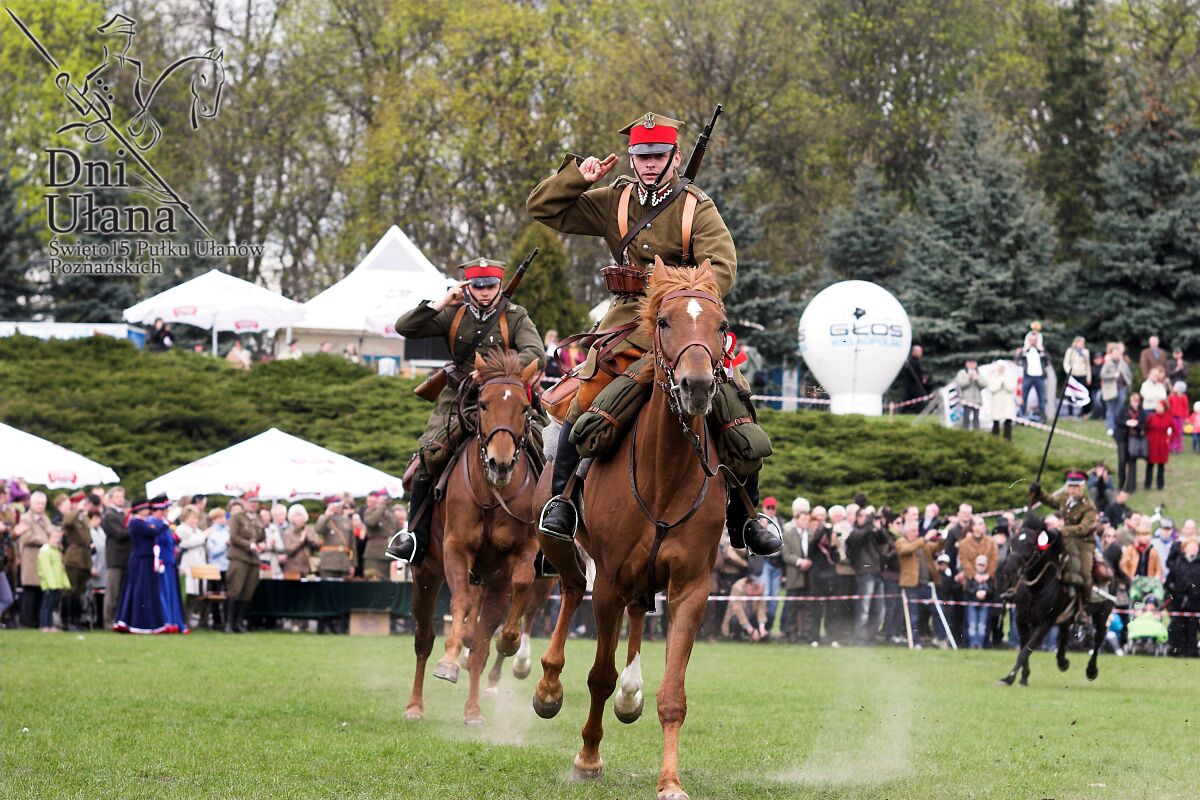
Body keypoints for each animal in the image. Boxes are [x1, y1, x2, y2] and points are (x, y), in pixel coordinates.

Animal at [405, 350, 542, 724]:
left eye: (525, 408)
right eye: (482, 403)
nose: (500, 463)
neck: (491, 494)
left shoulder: (519, 556)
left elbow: (522, 582)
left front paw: (509, 642)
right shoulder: (456, 550)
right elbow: (462, 604)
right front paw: (449, 661)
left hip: (492, 584)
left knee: (480, 645)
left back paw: (473, 709)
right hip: (425, 574)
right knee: (423, 640)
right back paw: (415, 705)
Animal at [535, 257, 729, 800]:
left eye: (720, 326)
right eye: (663, 321)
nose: (697, 387)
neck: (667, 470)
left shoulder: (690, 588)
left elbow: (673, 694)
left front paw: (670, 781)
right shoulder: (610, 581)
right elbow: (598, 675)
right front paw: (587, 759)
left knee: (639, 615)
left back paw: (630, 694)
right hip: (561, 546)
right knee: (570, 587)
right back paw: (548, 687)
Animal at [998, 515, 1108, 686]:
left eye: (1030, 543)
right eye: (1013, 541)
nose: (1009, 569)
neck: (1038, 588)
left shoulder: (1045, 623)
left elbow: (1026, 650)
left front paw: (1010, 677)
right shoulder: (1021, 620)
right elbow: (1023, 647)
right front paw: (1023, 677)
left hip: (1102, 614)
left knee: (1098, 638)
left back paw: (1091, 670)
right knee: (1064, 632)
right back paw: (1062, 661)